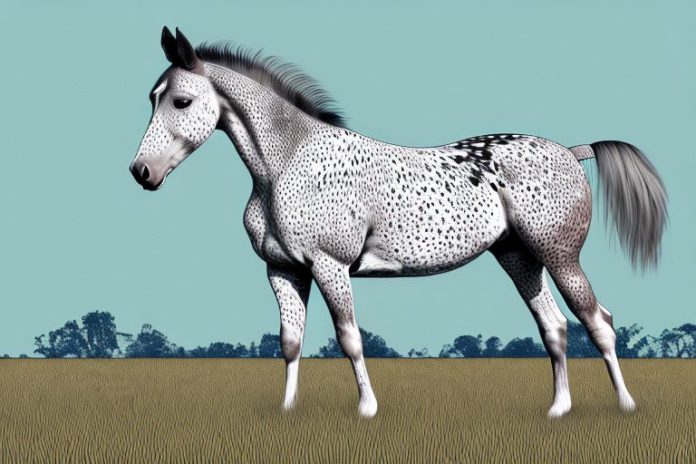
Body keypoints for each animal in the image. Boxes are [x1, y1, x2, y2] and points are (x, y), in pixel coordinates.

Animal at [130, 27, 667, 418]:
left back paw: (625, 406)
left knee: (599, 322)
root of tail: (573, 151)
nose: (142, 172)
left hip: (560, 257)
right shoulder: (284, 271)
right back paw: (557, 410)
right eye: (151, 98)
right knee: (554, 328)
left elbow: (349, 337)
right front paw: (286, 411)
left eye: (181, 101)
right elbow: (290, 343)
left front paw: (367, 409)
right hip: (519, 258)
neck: (287, 163)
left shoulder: (330, 267)